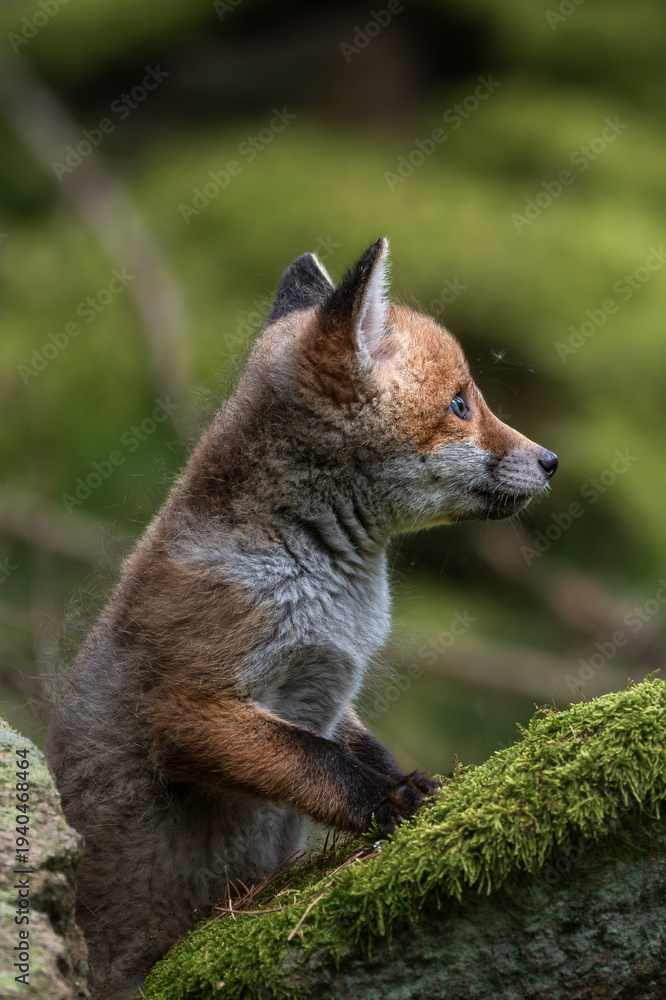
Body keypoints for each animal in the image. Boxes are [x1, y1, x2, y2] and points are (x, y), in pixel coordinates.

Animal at [45, 237, 557, 1000]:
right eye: (461, 404)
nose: (551, 461)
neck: (326, 586)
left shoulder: (330, 689)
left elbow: (355, 746)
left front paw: (414, 781)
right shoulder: (190, 709)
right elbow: (317, 762)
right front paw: (389, 803)